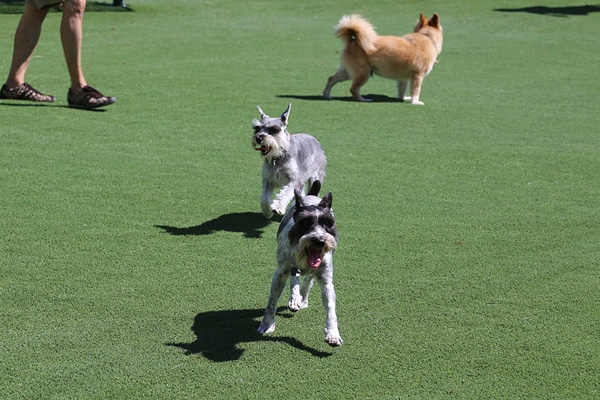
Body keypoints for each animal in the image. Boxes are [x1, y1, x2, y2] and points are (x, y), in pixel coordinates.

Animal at [256, 181, 342, 346]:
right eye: (305, 222)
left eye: (327, 223)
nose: (320, 241)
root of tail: (313, 194)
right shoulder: (280, 273)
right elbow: (271, 302)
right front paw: (267, 325)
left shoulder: (326, 280)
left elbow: (331, 309)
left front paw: (333, 334)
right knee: (294, 277)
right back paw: (295, 299)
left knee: (308, 279)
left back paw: (302, 297)